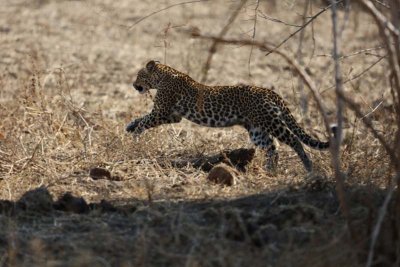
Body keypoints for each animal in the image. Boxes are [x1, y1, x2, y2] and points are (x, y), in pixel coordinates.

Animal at [127, 61, 332, 173]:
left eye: (139, 75)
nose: (133, 85)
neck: (162, 76)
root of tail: (270, 92)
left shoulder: (162, 111)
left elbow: (145, 120)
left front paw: (135, 134)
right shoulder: (172, 115)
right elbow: (142, 118)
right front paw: (130, 126)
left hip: (271, 122)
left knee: (294, 140)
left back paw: (308, 167)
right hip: (256, 129)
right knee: (272, 148)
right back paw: (270, 171)